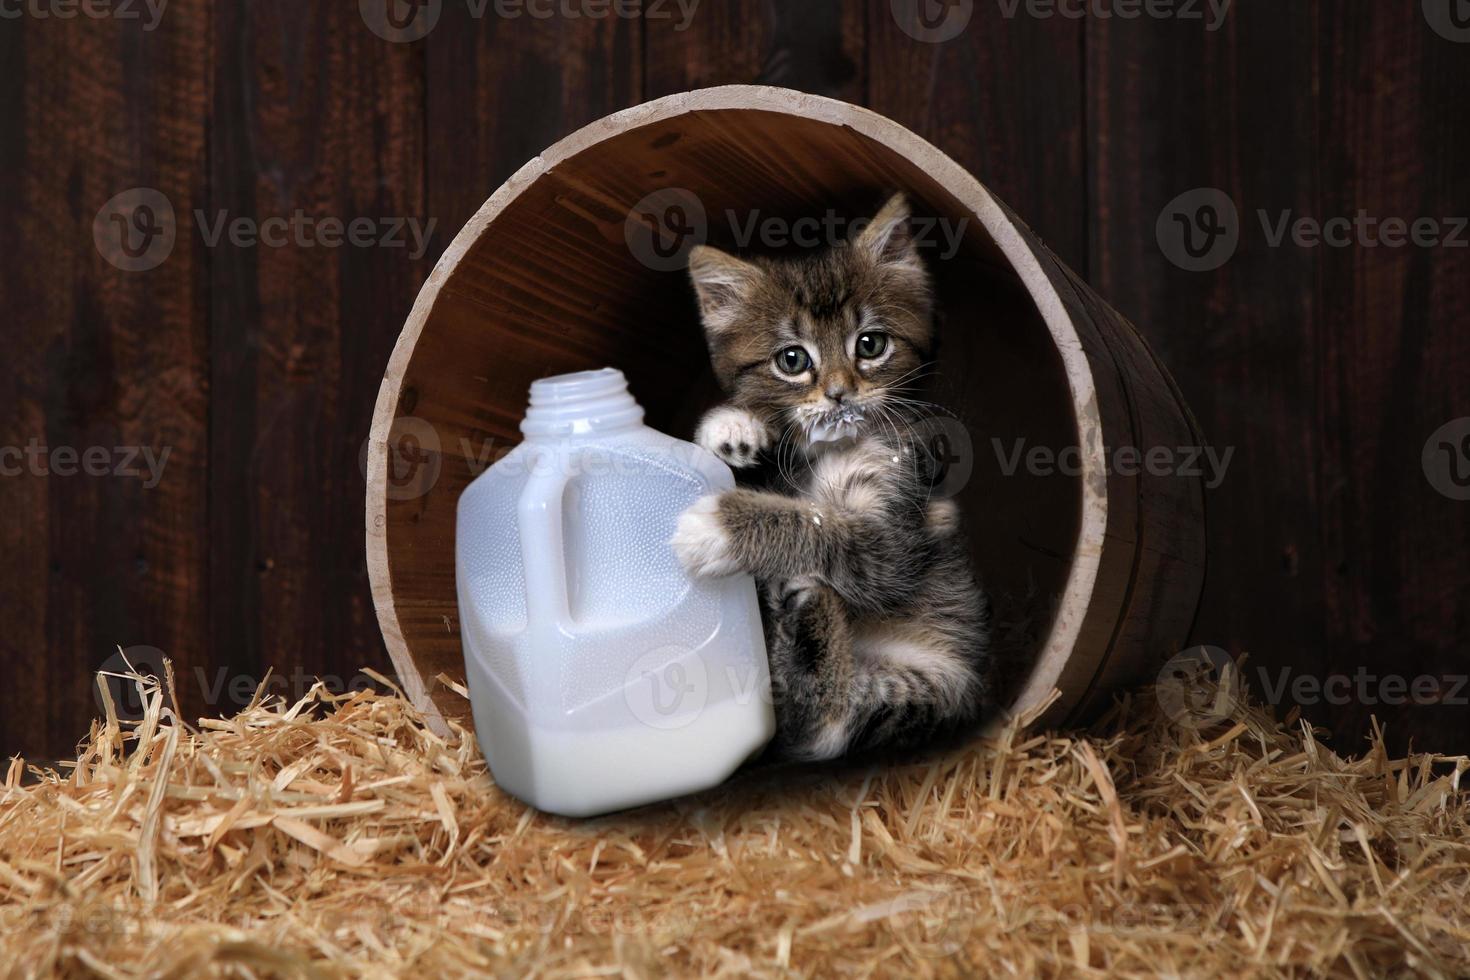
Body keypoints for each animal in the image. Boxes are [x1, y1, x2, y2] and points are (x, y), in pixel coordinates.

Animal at [673, 193, 993, 764]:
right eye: (792, 359)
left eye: (870, 345)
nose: (840, 393)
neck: (829, 453)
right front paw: (733, 429)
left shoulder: (893, 537)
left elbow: (828, 525)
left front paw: (720, 526)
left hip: (934, 684)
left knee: (823, 727)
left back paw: (808, 608)